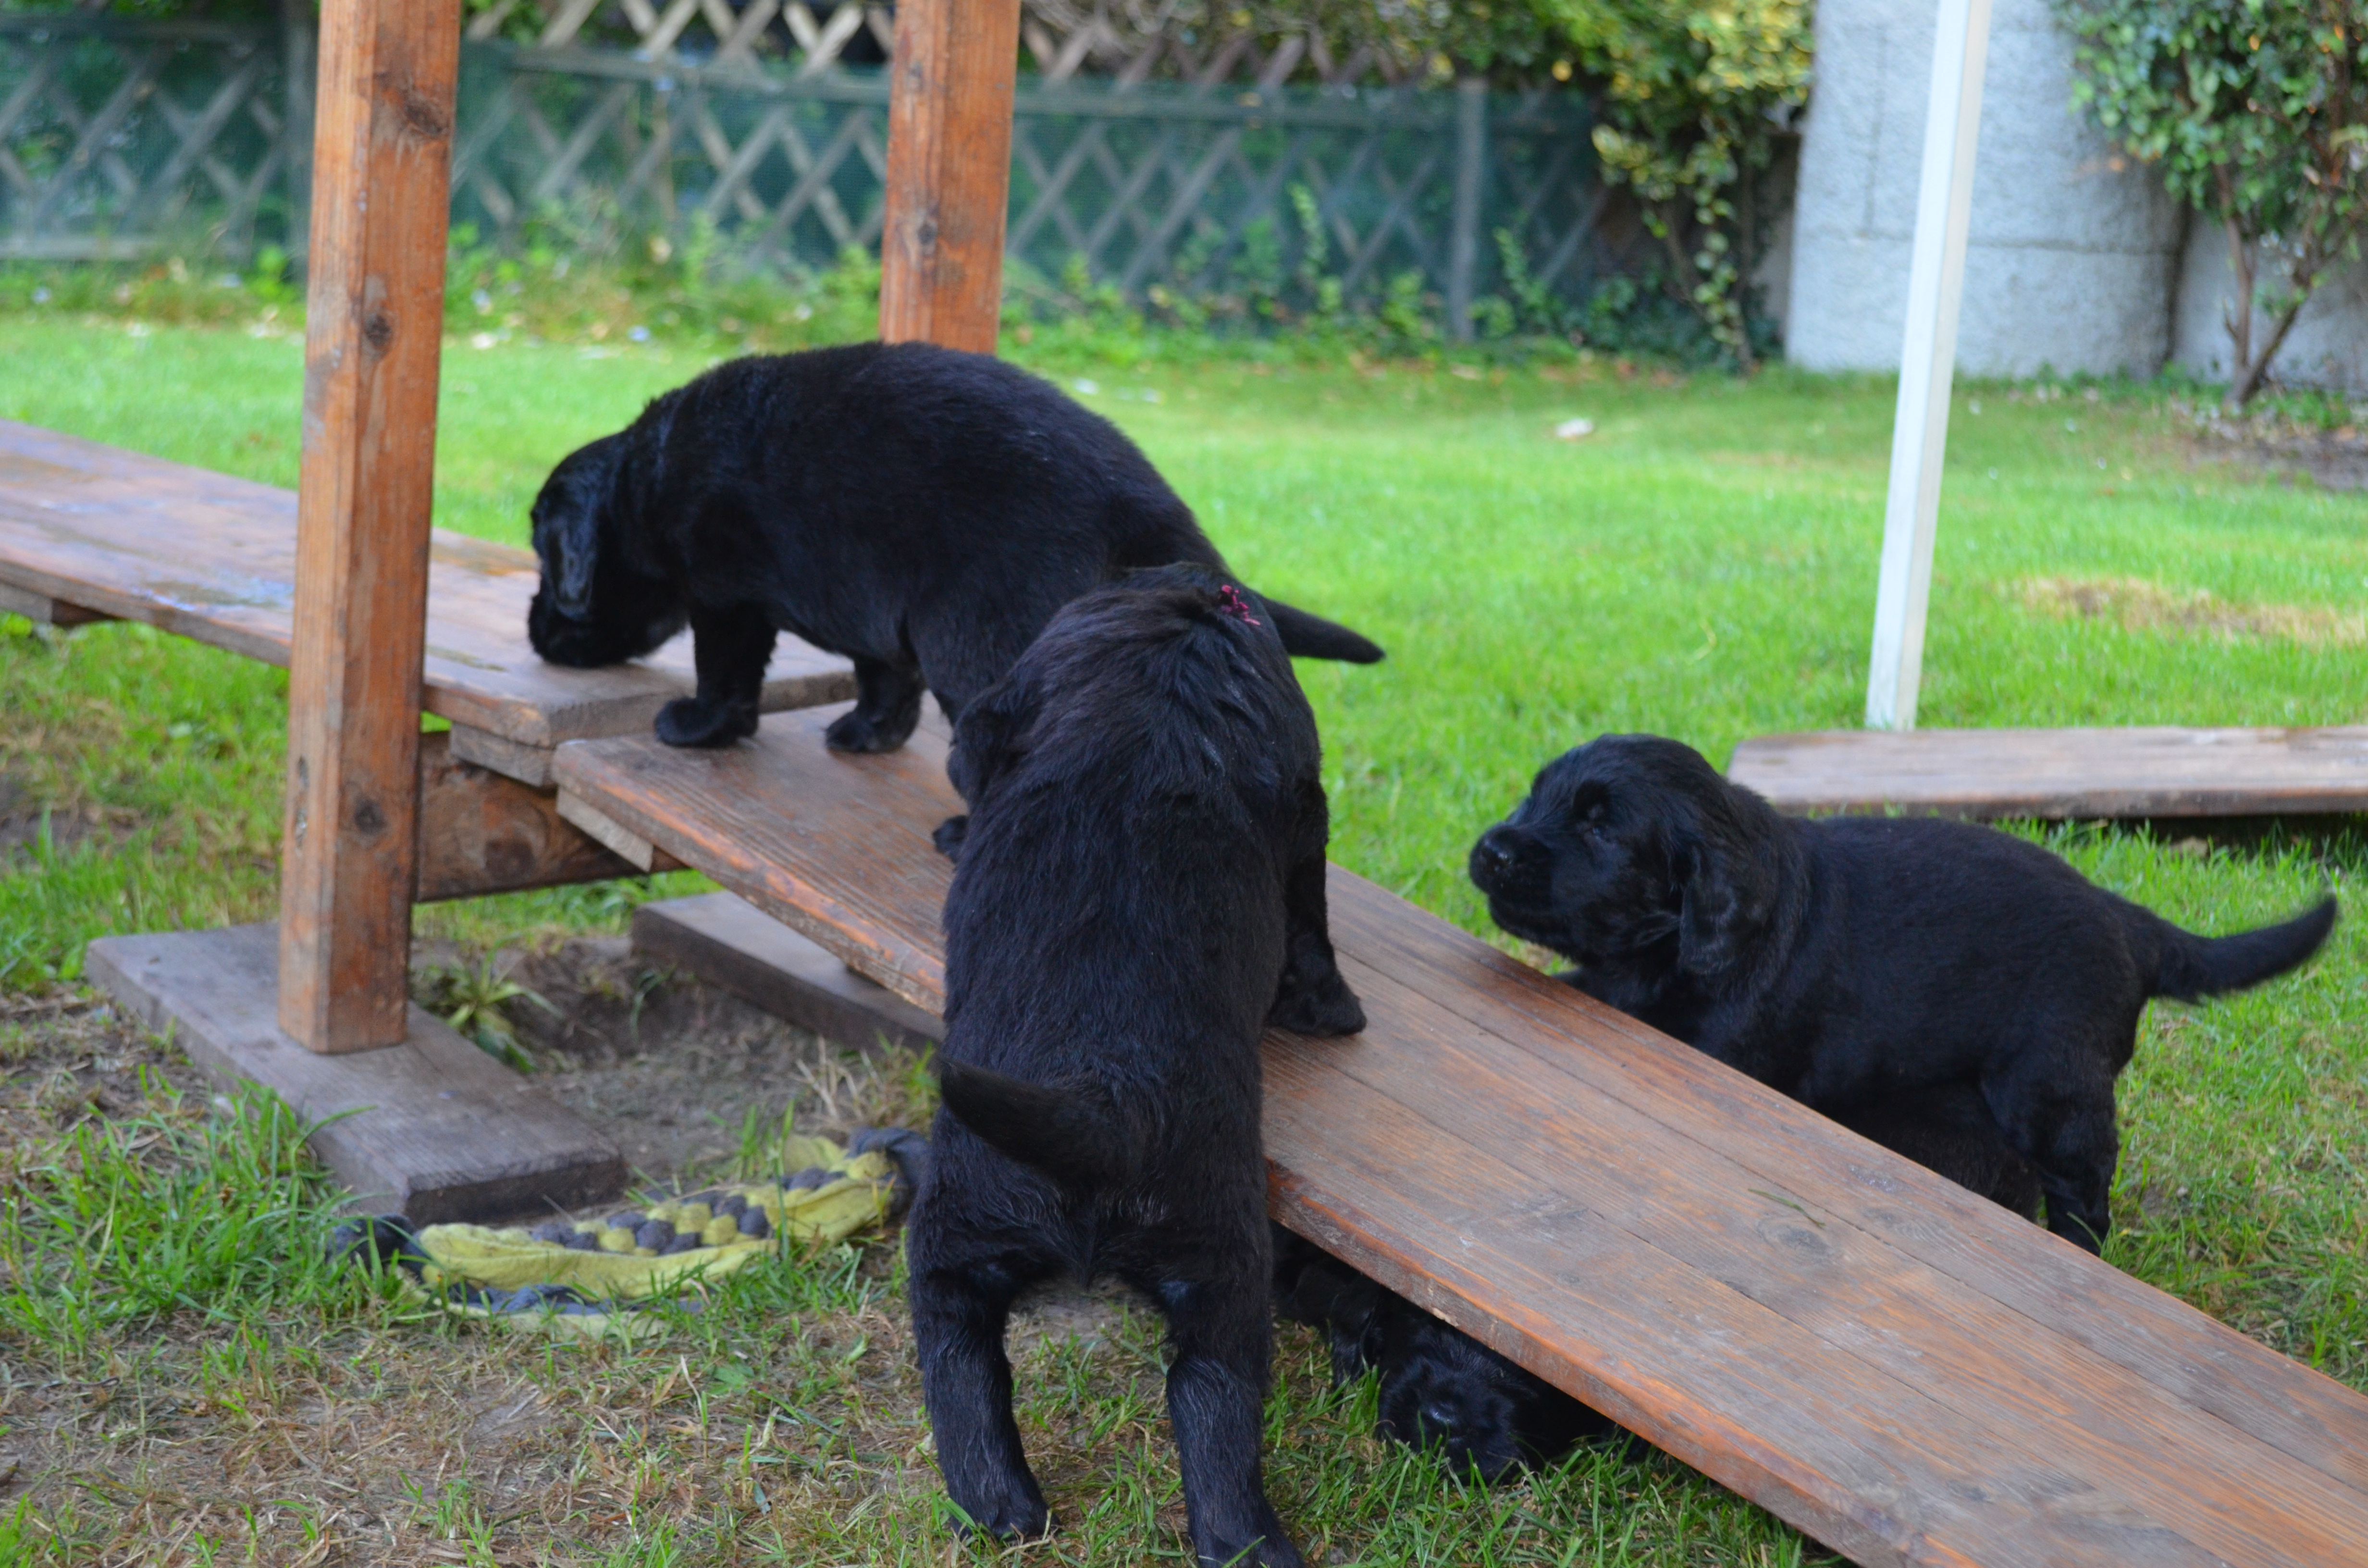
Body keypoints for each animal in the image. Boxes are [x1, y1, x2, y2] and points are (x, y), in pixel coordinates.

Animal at [524, 341, 1383, 754]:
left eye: (546, 561)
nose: (535, 631)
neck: (644, 477)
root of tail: (1142, 501)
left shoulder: (727, 598)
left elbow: (725, 674)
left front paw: (699, 728)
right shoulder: (870, 605)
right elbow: (882, 676)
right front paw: (872, 735)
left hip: (978, 640)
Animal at [905, 565, 1365, 1568]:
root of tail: (1101, 1095)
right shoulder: (1304, 803)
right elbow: (1311, 917)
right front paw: (1331, 1009)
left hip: (965, 1221)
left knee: (960, 1350)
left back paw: (1003, 1507)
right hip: (1216, 1247)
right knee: (1208, 1389)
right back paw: (1245, 1539)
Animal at [1469, 734, 2337, 1252]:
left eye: (1601, 829)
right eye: (1534, 796)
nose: (1490, 849)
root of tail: (2127, 918)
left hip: (2051, 1087)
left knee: (2083, 1191)